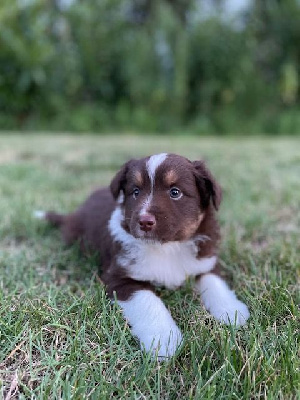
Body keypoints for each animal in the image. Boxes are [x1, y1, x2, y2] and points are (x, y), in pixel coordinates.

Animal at [34, 154, 250, 360]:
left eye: (175, 192)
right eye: (136, 192)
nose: (144, 221)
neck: (167, 248)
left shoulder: (205, 261)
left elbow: (215, 282)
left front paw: (231, 310)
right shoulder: (120, 277)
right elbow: (148, 301)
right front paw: (163, 340)